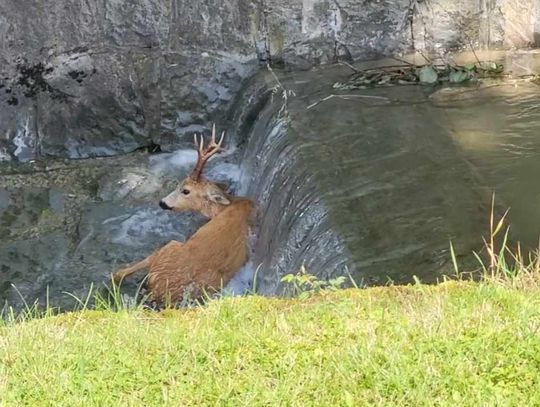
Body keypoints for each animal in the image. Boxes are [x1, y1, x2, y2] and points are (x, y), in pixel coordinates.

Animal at [112, 126, 255, 304]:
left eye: (185, 190)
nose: (162, 202)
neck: (227, 206)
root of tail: (159, 290)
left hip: (168, 248)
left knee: (122, 273)